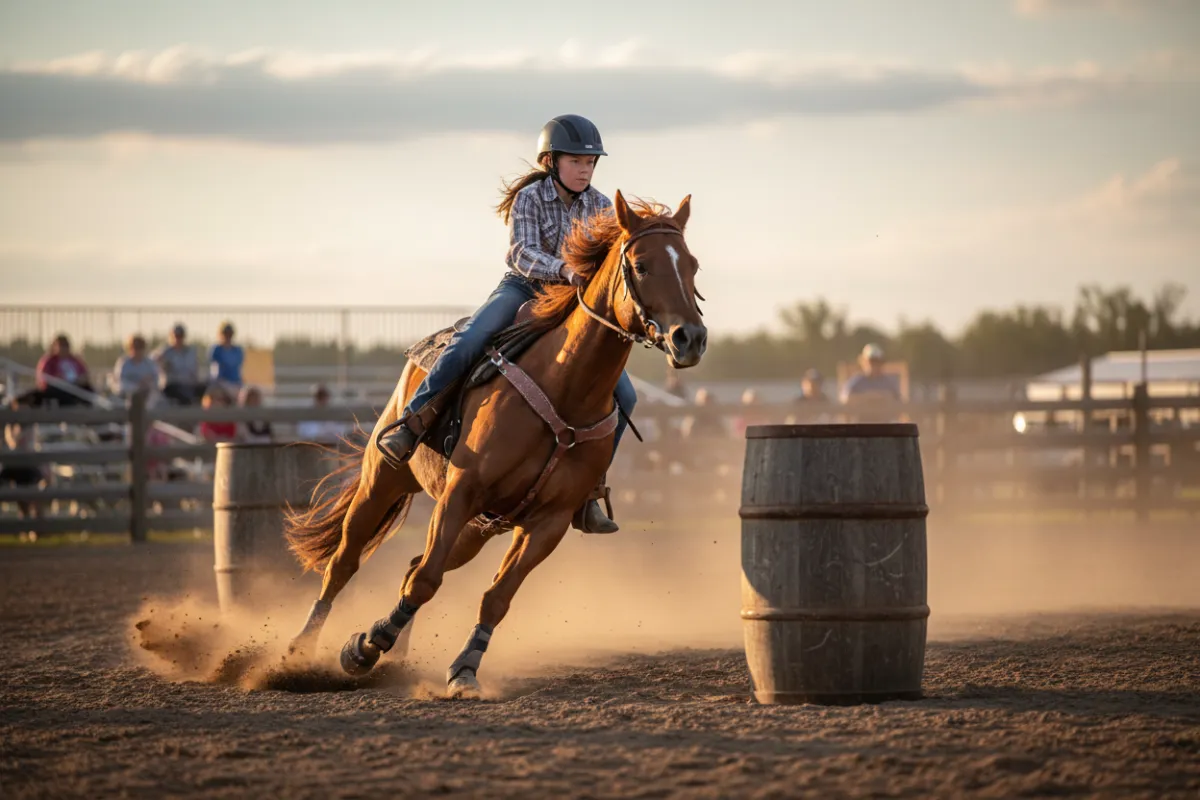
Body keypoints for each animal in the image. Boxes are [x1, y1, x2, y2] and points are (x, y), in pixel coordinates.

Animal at [283, 190, 707, 698]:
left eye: (693, 265)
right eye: (641, 266)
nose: (691, 338)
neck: (565, 388)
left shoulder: (549, 522)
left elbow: (495, 597)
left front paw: (462, 669)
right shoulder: (461, 492)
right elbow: (425, 581)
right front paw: (362, 648)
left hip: (481, 527)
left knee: (412, 564)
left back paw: (394, 657)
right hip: (384, 480)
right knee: (345, 562)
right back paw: (300, 651)